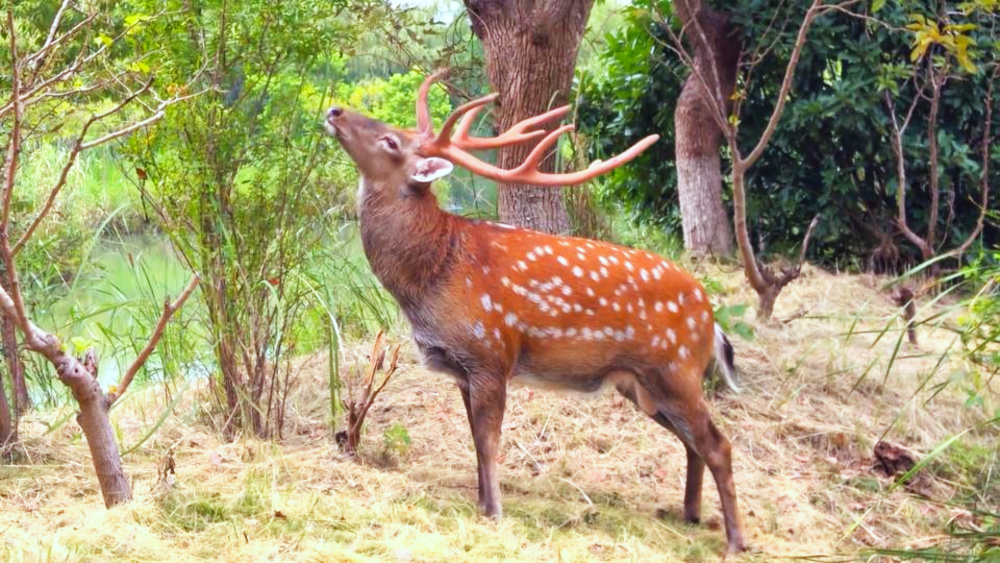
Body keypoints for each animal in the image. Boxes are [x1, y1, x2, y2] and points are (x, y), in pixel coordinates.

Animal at [323, 70, 746, 554]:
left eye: (391, 141)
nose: (334, 111)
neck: (431, 277)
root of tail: (711, 317)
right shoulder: (462, 368)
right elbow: (475, 440)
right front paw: (482, 505)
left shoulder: (491, 352)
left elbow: (488, 441)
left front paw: (495, 513)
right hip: (644, 383)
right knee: (695, 444)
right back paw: (690, 515)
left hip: (677, 367)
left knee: (718, 444)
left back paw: (735, 541)